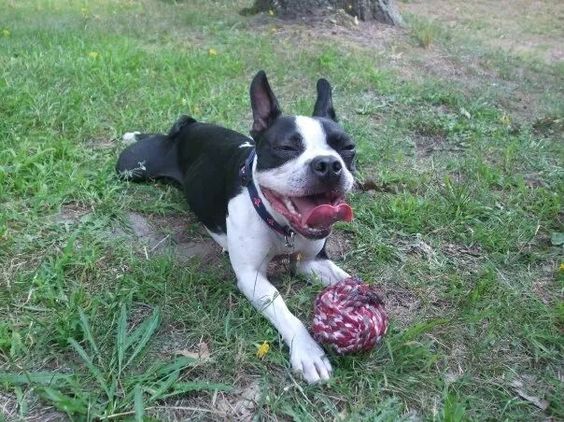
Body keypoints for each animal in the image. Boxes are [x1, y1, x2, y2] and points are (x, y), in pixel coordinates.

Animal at [115, 71, 356, 382]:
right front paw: (307, 351)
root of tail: (191, 128)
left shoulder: (311, 261)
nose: (328, 164)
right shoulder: (251, 276)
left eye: (348, 148)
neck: (281, 225)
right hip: (131, 167)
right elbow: (282, 308)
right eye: (285, 148)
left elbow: (347, 280)